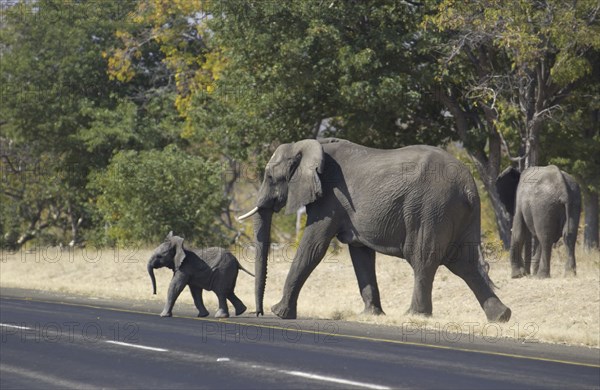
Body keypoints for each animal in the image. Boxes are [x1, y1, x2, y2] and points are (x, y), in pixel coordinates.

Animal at [239, 139, 510, 322]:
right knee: (465, 264)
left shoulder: (330, 198)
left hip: (431, 208)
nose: (258, 312)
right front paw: (371, 315)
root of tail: (468, 186)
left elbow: (314, 245)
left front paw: (279, 313)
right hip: (461, 212)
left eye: (270, 177)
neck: (307, 146)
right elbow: (360, 255)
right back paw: (501, 317)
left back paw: (414, 316)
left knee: (423, 259)